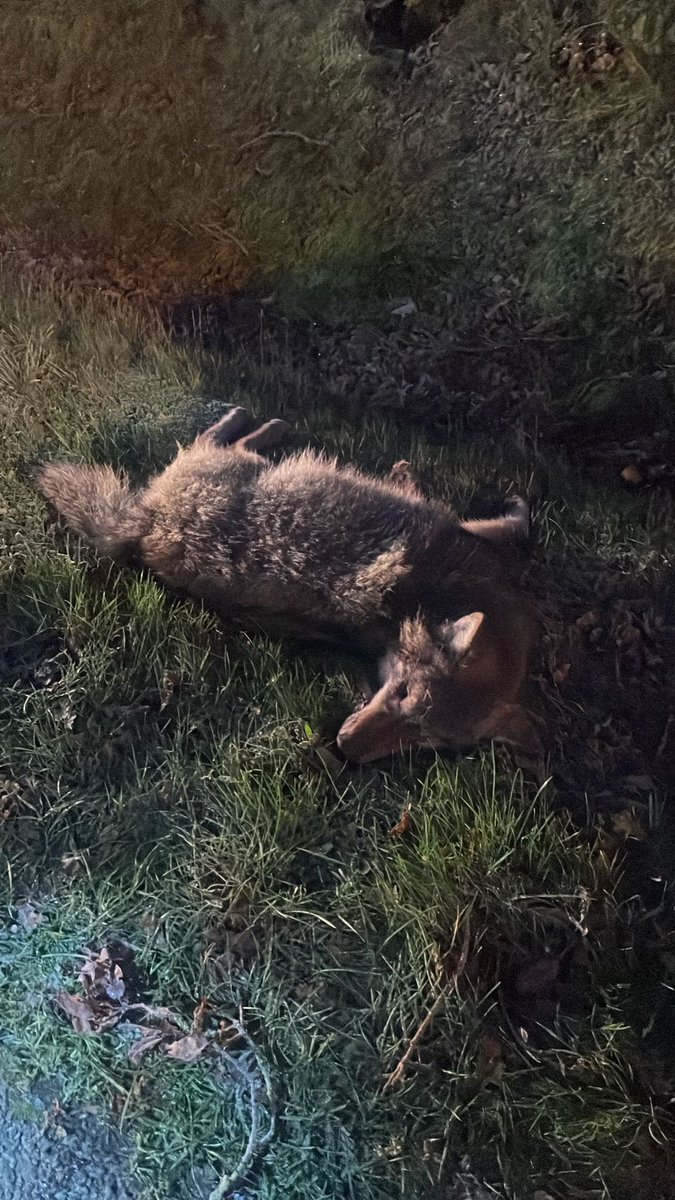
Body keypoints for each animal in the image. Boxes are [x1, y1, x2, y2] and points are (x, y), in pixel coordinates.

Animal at [37, 407, 541, 763]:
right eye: (400, 694)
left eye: (425, 743)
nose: (346, 747)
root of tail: (141, 525)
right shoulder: (484, 538)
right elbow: (523, 526)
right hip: (240, 464)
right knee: (213, 437)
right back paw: (259, 421)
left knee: (217, 440)